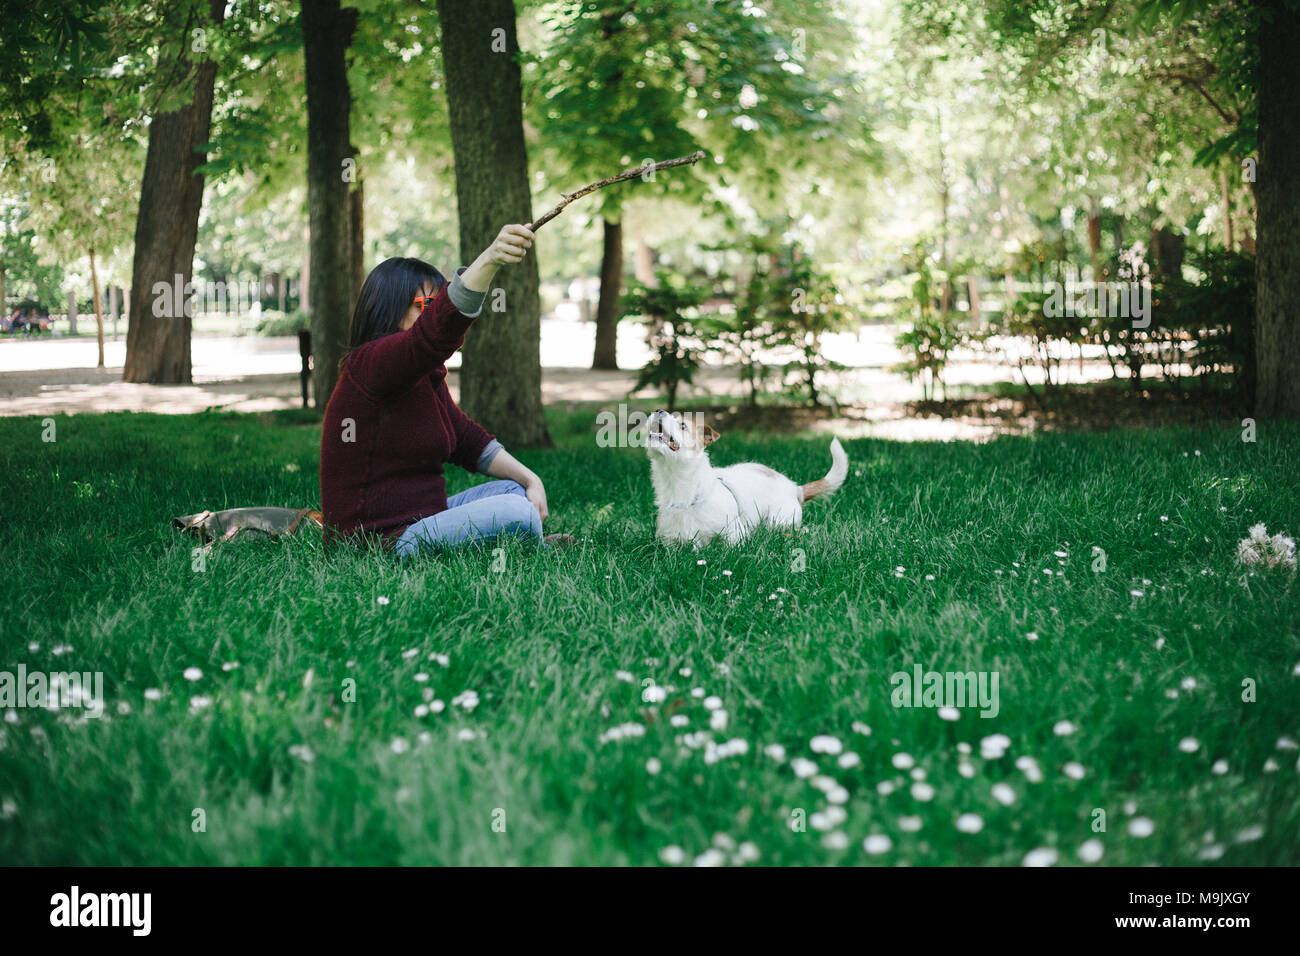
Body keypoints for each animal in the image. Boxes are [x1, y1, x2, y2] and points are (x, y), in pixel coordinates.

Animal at [644, 408, 847, 548]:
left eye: (683, 425)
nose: (658, 410)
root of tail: (794, 488)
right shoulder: (670, 541)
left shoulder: (735, 534)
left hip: (779, 521)